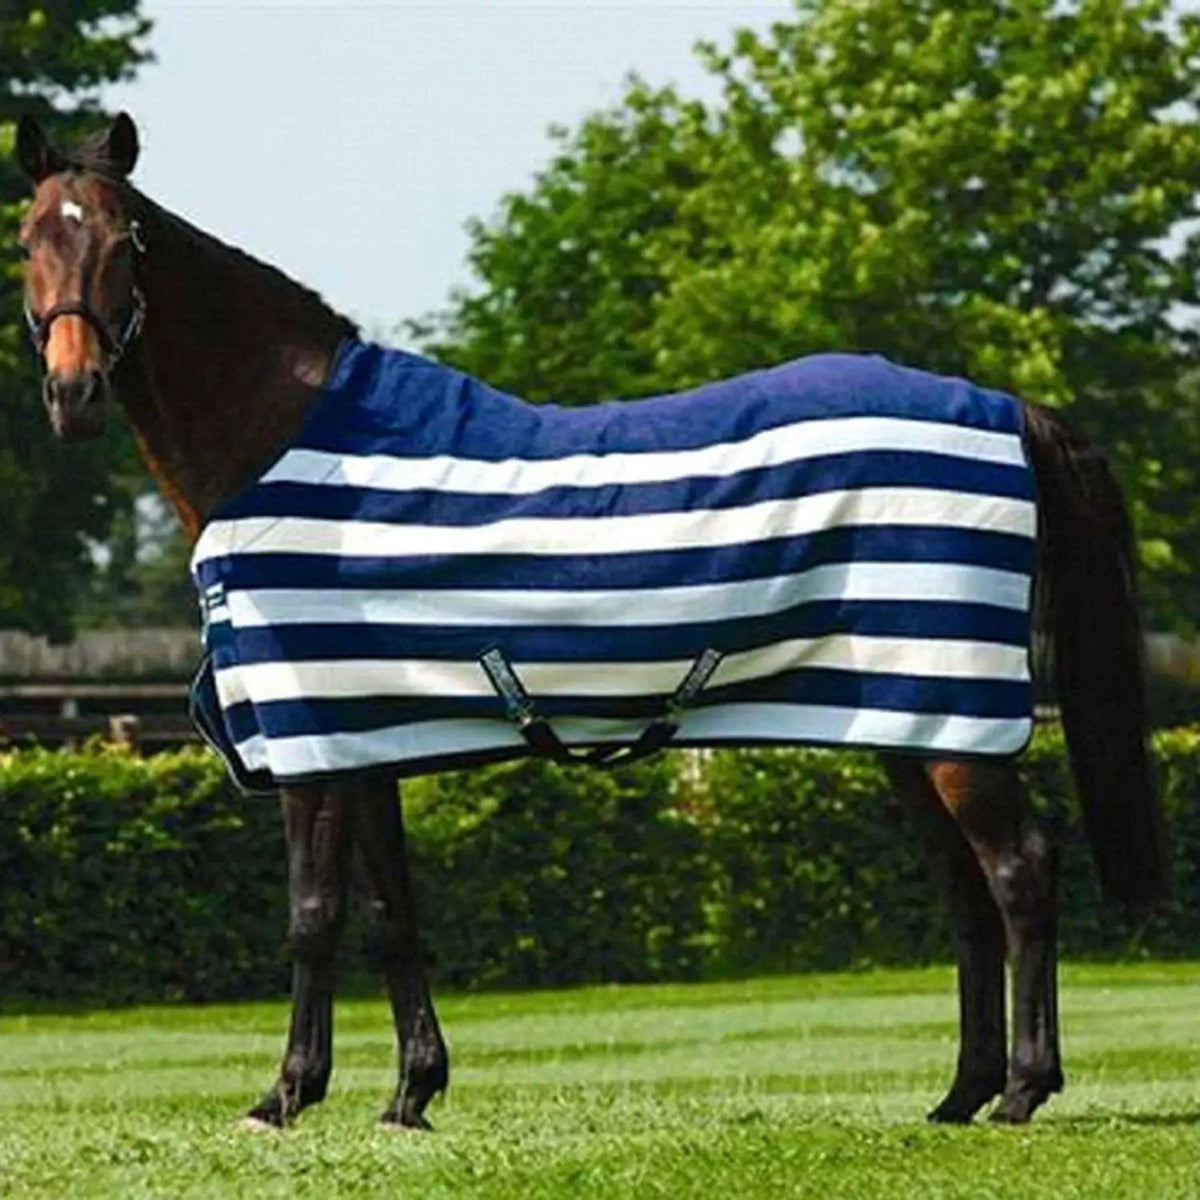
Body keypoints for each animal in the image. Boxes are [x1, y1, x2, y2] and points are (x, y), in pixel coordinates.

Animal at [13, 112, 1167, 1129]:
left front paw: (286, 1098)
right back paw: (960, 1095)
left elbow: (311, 916)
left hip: (952, 723)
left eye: (124, 242)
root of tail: (1006, 407)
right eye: (28, 239)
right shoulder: (369, 733)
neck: (286, 437)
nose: (73, 395)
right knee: (967, 897)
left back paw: (1022, 1090)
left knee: (1020, 871)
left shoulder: (314, 736)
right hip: (904, 723)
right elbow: (390, 917)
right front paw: (410, 1095)